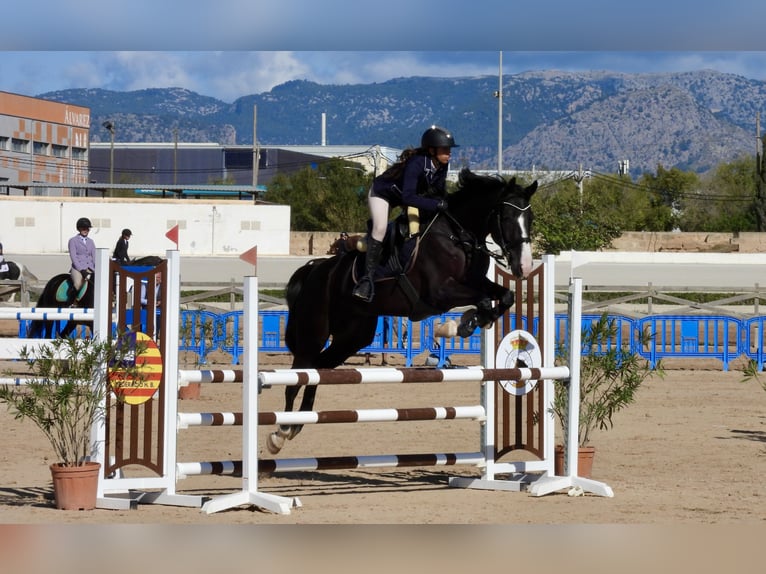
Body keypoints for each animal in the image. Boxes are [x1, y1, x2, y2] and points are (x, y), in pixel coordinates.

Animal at [268, 169, 540, 456]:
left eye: (530, 218)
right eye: (506, 217)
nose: (524, 267)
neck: (458, 235)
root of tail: (314, 269)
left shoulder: (475, 282)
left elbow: (504, 296)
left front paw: (469, 323)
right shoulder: (440, 293)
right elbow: (485, 300)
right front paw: (460, 325)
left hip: (353, 336)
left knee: (319, 368)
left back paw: (299, 422)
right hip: (314, 331)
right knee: (299, 374)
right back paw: (281, 432)